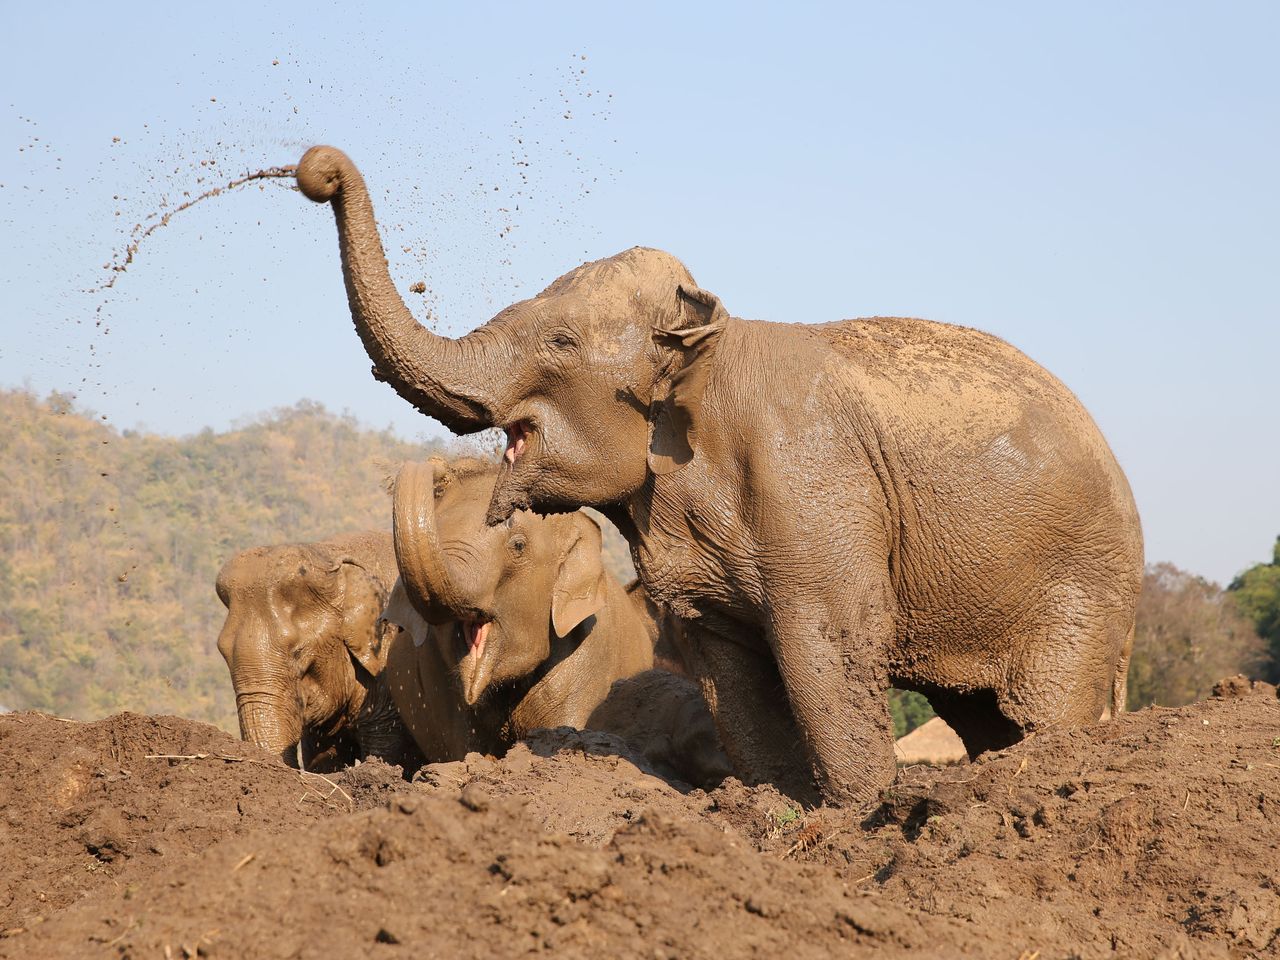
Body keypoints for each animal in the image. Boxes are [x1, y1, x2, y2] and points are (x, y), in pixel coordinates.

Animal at [294, 145, 1144, 806]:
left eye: (561, 342)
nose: (316, 170)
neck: (709, 348)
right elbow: (725, 670)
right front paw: (775, 808)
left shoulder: (817, 490)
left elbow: (826, 651)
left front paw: (854, 821)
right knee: (981, 715)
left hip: (1080, 581)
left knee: (1041, 707)